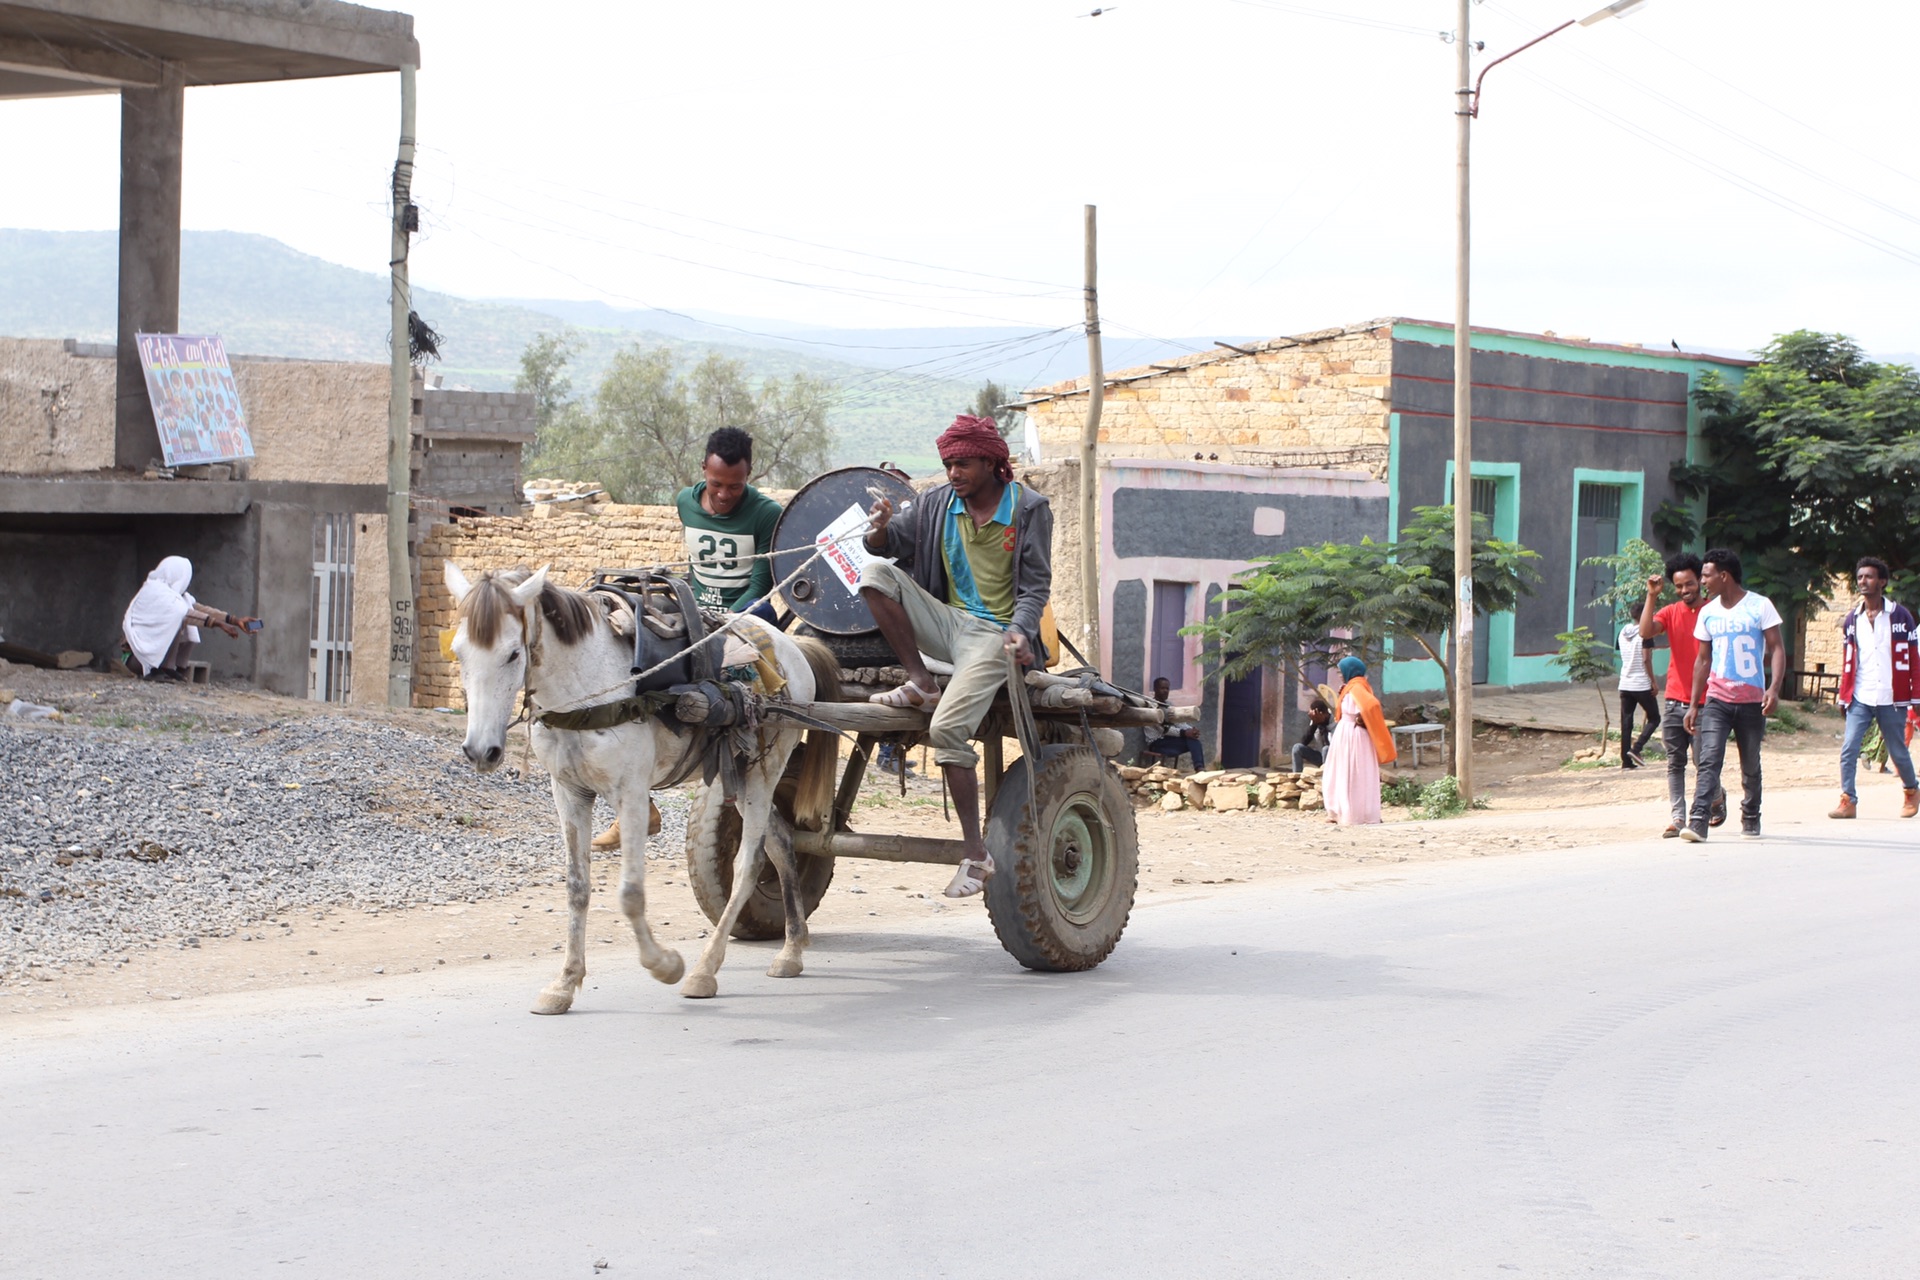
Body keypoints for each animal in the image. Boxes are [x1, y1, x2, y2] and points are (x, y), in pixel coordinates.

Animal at [449, 560, 848, 1013]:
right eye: (458, 652)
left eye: (513, 653)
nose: (481, 751)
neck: (586, 686)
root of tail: (792, 646)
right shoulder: (568, 792)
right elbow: (577, 887)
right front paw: (564, 983)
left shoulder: (632, 793)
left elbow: (630, 893)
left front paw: (665, 965)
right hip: (739, 772)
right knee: (780, 842)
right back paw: (792, 948)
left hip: (766, 769)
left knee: (750, 863)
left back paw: (704, 971)